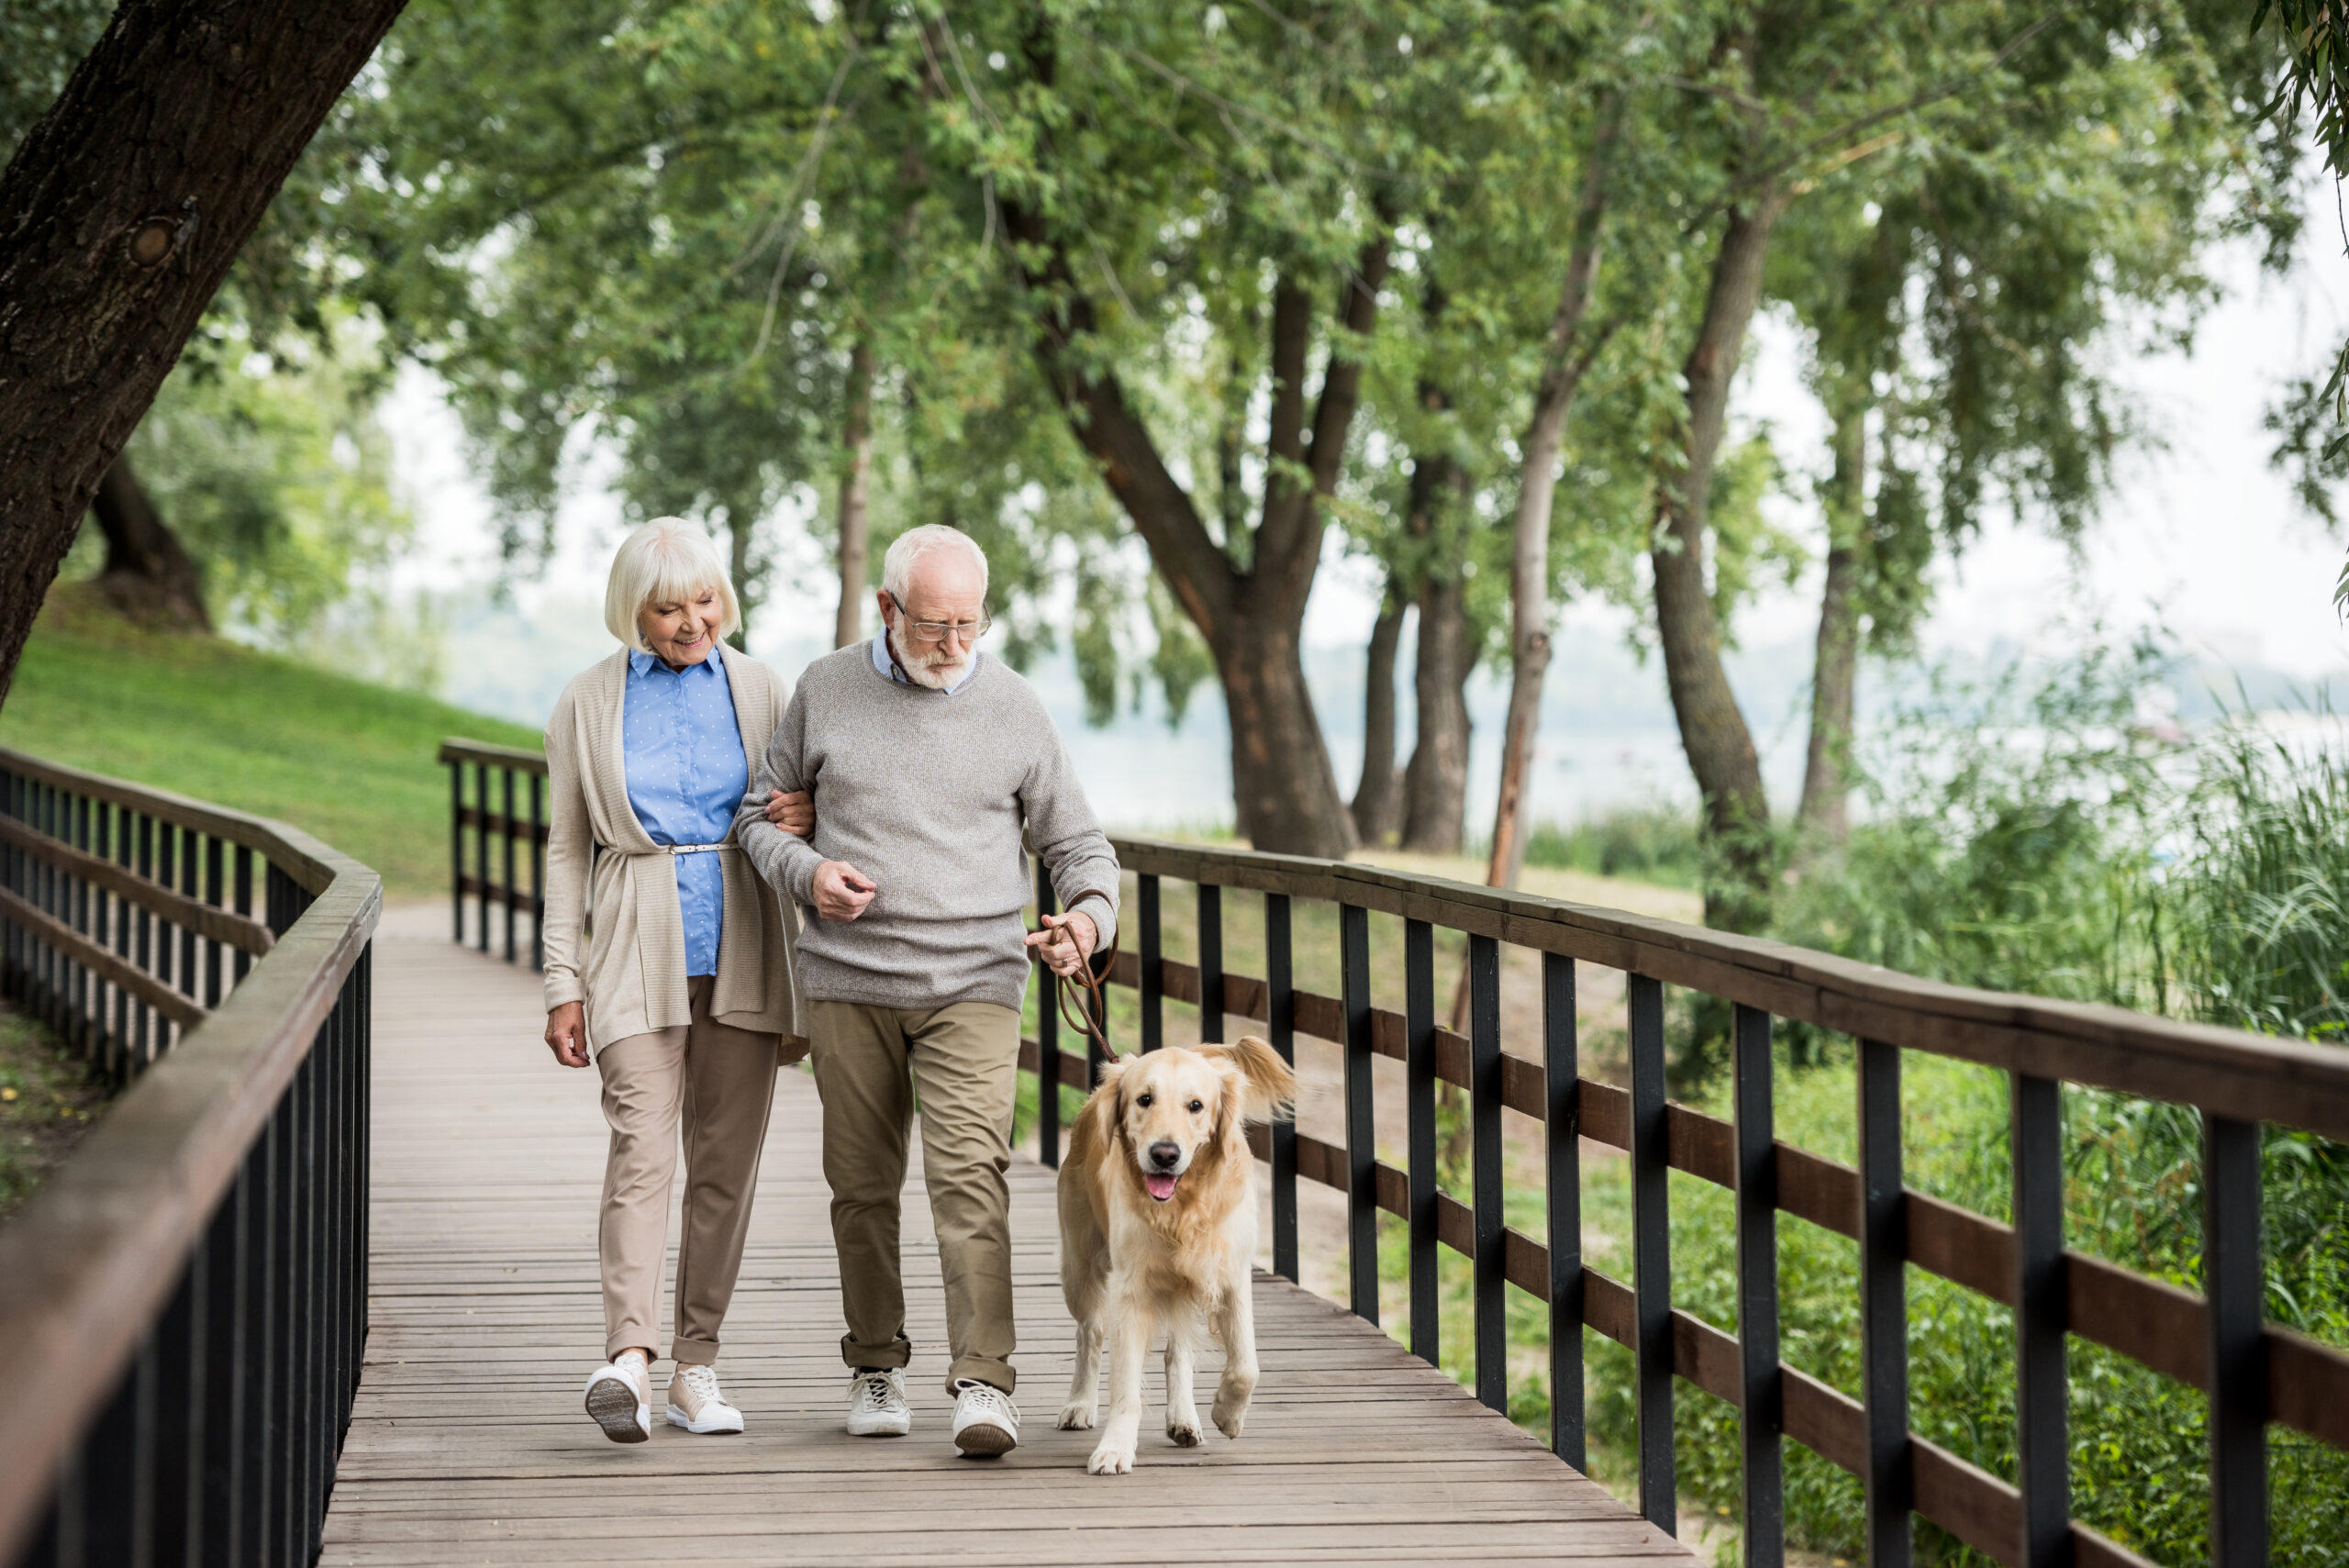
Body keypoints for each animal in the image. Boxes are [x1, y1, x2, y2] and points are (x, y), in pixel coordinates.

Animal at [1057, 1032, 1297, 1473]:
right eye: (1144, 1099)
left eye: (1196, 1105)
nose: (1164, 1154)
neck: (1181, 1208)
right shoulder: (1131, 1289)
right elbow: (1125, 1388)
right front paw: (1115, 1447)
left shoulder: (1231, 1275)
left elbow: (1246, 1366)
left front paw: (1227, 1414)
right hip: (1078, 1265)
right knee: (1090, 1332)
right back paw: (1079, 1403)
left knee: (1178, 1350)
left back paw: (1184, 1417)